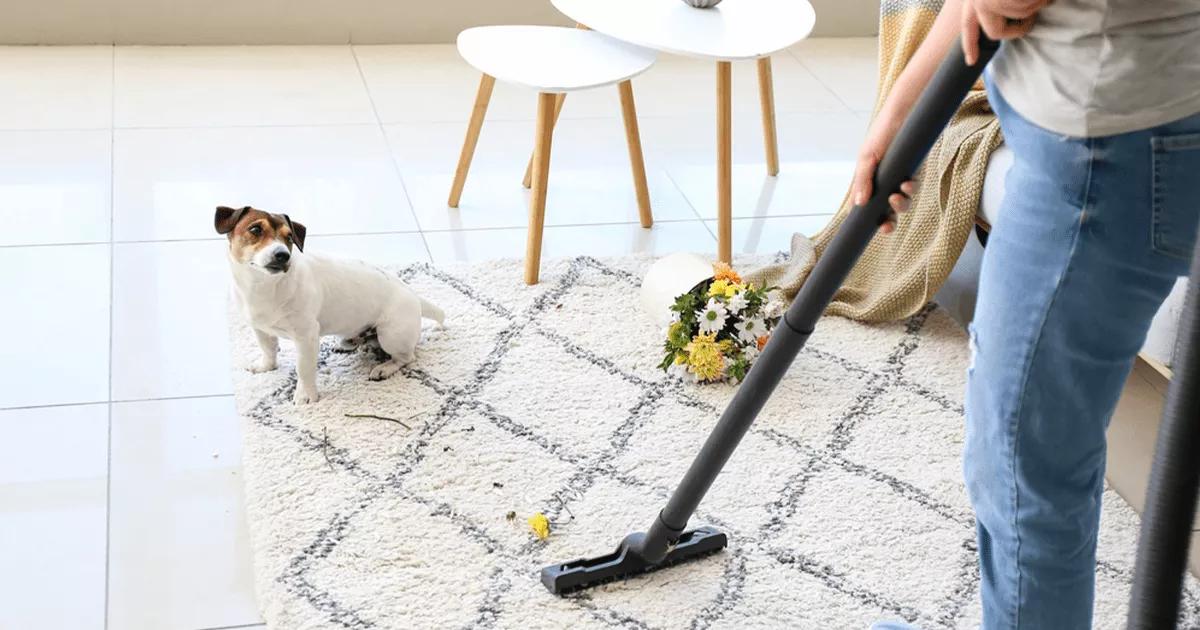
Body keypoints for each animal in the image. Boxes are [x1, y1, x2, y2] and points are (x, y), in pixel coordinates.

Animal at [217, 204, 446, 405]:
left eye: (289, 237)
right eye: (255, 229)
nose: (283, 254)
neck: (263, 286)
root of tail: (414, 296)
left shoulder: (306, 336)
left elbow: (304, 369)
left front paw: (305, 395)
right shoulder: (260, 329)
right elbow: (268, 349)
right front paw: (266, 366)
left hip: (391, 336)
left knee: (407, 357)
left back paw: (384, 368)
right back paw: (349, 343)